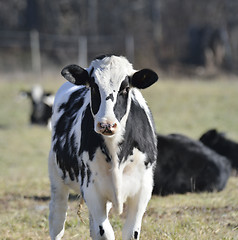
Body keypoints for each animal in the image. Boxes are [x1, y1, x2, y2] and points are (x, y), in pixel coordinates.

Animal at [48, 55, 158, 239]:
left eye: (125, 88)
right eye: (93, 87)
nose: (107, 124)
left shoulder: (142, 189)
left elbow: (130, 232)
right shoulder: (92, 188)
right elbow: (104, 232)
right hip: (57, 179)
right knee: (57, 219)